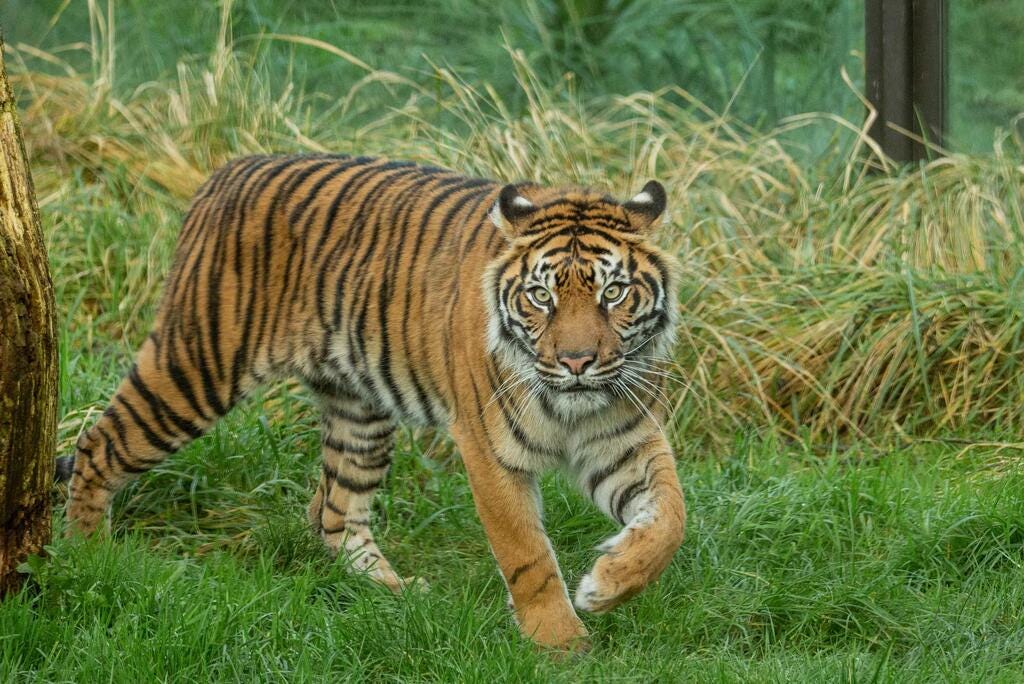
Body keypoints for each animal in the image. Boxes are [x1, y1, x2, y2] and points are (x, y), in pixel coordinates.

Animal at [56, 154, 684, 651]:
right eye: (541, 296)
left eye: (613, 293)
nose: (577, 362)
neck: (572, 404)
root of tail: (229, 170)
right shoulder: (488, 449)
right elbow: (525, 552)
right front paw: (559, 642)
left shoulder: (625, 438)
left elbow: (670, 519)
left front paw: (606, 585)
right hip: (196, 366)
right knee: (97, 446)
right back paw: (88, 557)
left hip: (359, 412)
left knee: (333, 512)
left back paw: (394, 591)